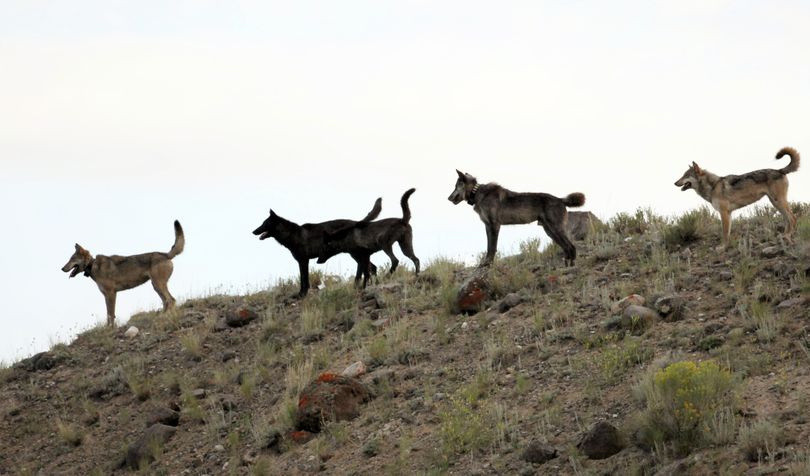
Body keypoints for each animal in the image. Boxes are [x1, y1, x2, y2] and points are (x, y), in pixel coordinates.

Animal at [251, 198, 380, 298]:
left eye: (264, 223)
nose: (253, 231)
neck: (291, 234)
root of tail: (356, 222)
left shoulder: (303, 261)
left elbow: (304, 279)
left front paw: (302, 294)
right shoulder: (302, 261)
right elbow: (303, 279)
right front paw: (301, 294)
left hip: (355, 254)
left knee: (367, 268)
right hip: (355, 254)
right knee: (371, 267)